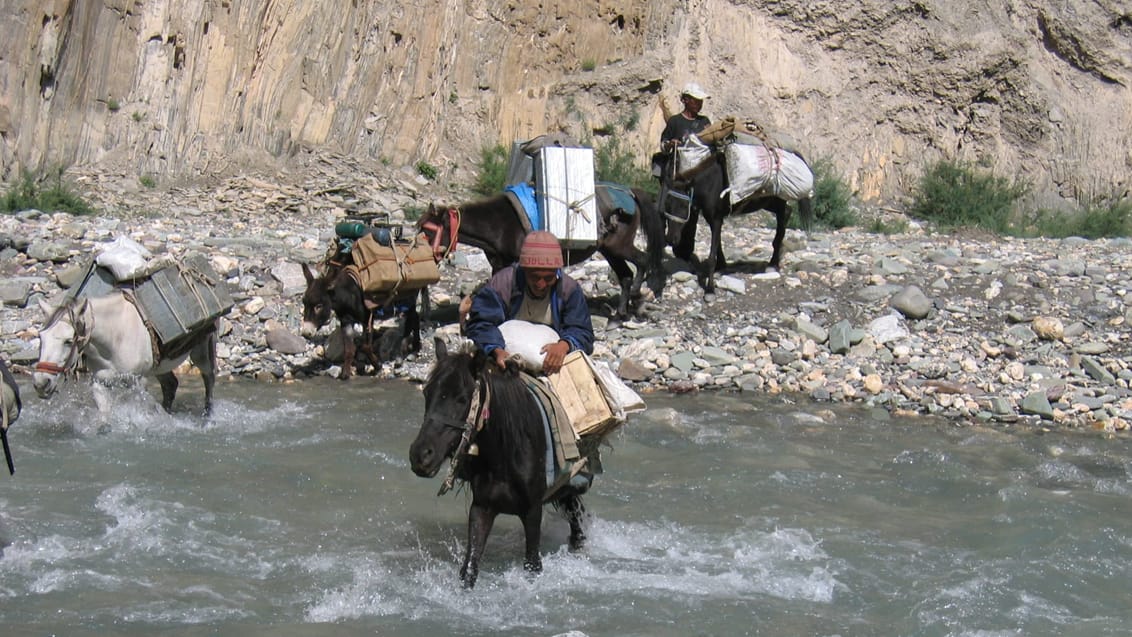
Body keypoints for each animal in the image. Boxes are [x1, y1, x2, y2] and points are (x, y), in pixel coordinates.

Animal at [409, 339, 588, 588]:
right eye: (427, 393)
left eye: (462, 398)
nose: (420, 456)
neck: (505, 453)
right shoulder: (482, 508)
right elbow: (469, 568)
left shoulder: (532, 510)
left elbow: (532, 565)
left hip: (568, 491)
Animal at [418, 183, 665, 314]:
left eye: (428, 231)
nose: (421, 258)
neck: (498, 224)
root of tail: (630, 193)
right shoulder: (499, 263)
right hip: (609, 250)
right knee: (625, 275)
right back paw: (620, 313)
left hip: (620, 246)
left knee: (642, 261)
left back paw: (636, 297)